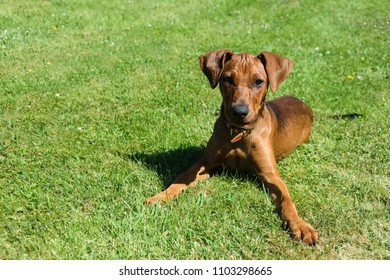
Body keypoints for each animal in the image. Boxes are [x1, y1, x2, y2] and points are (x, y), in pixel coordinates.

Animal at [145, 48, 318, 245]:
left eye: (259, 81)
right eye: (227, 79)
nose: (239, 112)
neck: (238, 133)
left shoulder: (270, 175)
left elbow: (286, 199)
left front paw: (300, 225)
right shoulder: (207, 162)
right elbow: (182, 178)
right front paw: (160, 197)